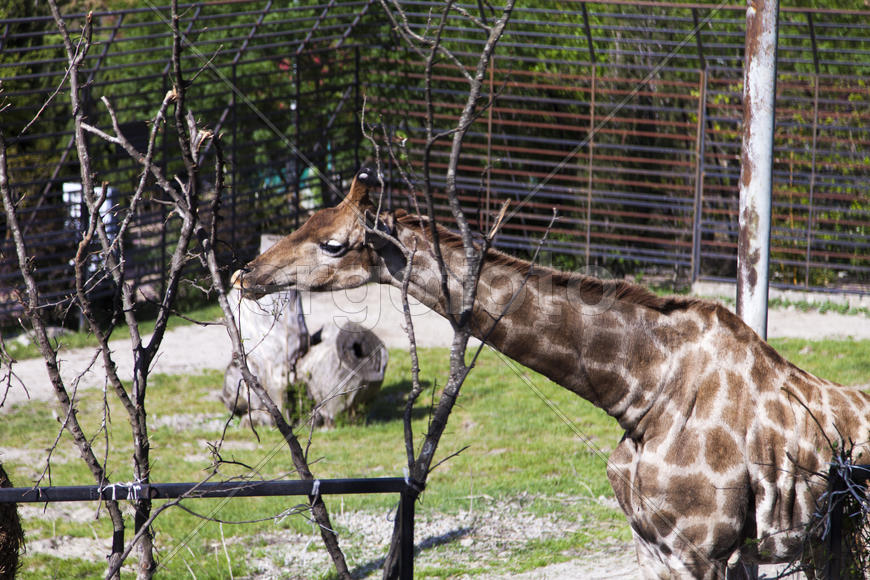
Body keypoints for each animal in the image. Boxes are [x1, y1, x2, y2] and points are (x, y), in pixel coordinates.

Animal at [233, 167, 870, 578]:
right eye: (306, 220)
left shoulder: (705, 550)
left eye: (333, 244)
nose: (246, 274)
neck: (643, 393)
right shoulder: (657, 546)